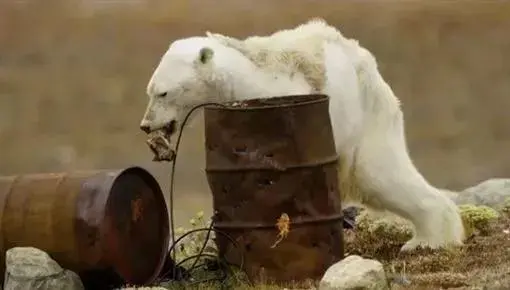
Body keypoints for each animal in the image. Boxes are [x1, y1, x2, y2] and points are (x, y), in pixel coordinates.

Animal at [140, 18, 466, 250]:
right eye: (150, 91)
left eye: (163, 92)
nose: (146, 124)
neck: (244, 76)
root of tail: (368, 65)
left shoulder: (284, 91)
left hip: (365, 119)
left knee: (382, 174)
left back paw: (428, 240)